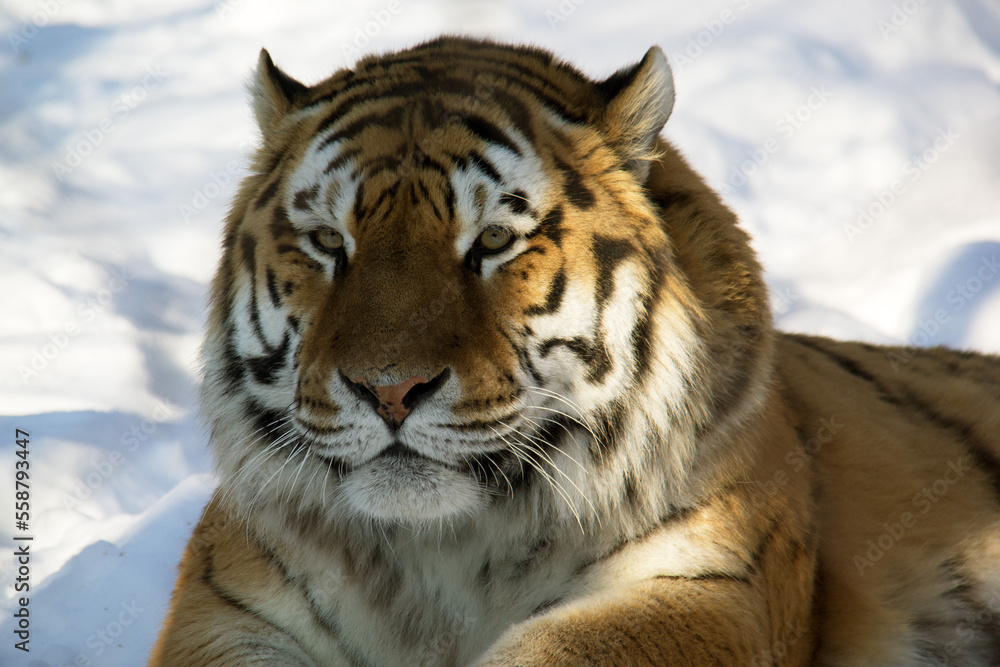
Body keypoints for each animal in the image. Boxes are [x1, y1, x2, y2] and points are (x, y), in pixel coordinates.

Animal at [150, 37, 1000, 666]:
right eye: (329, 243)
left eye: (493, 241)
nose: (388, 389)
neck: (442, 552)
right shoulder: (230, 605)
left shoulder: (707, 581)